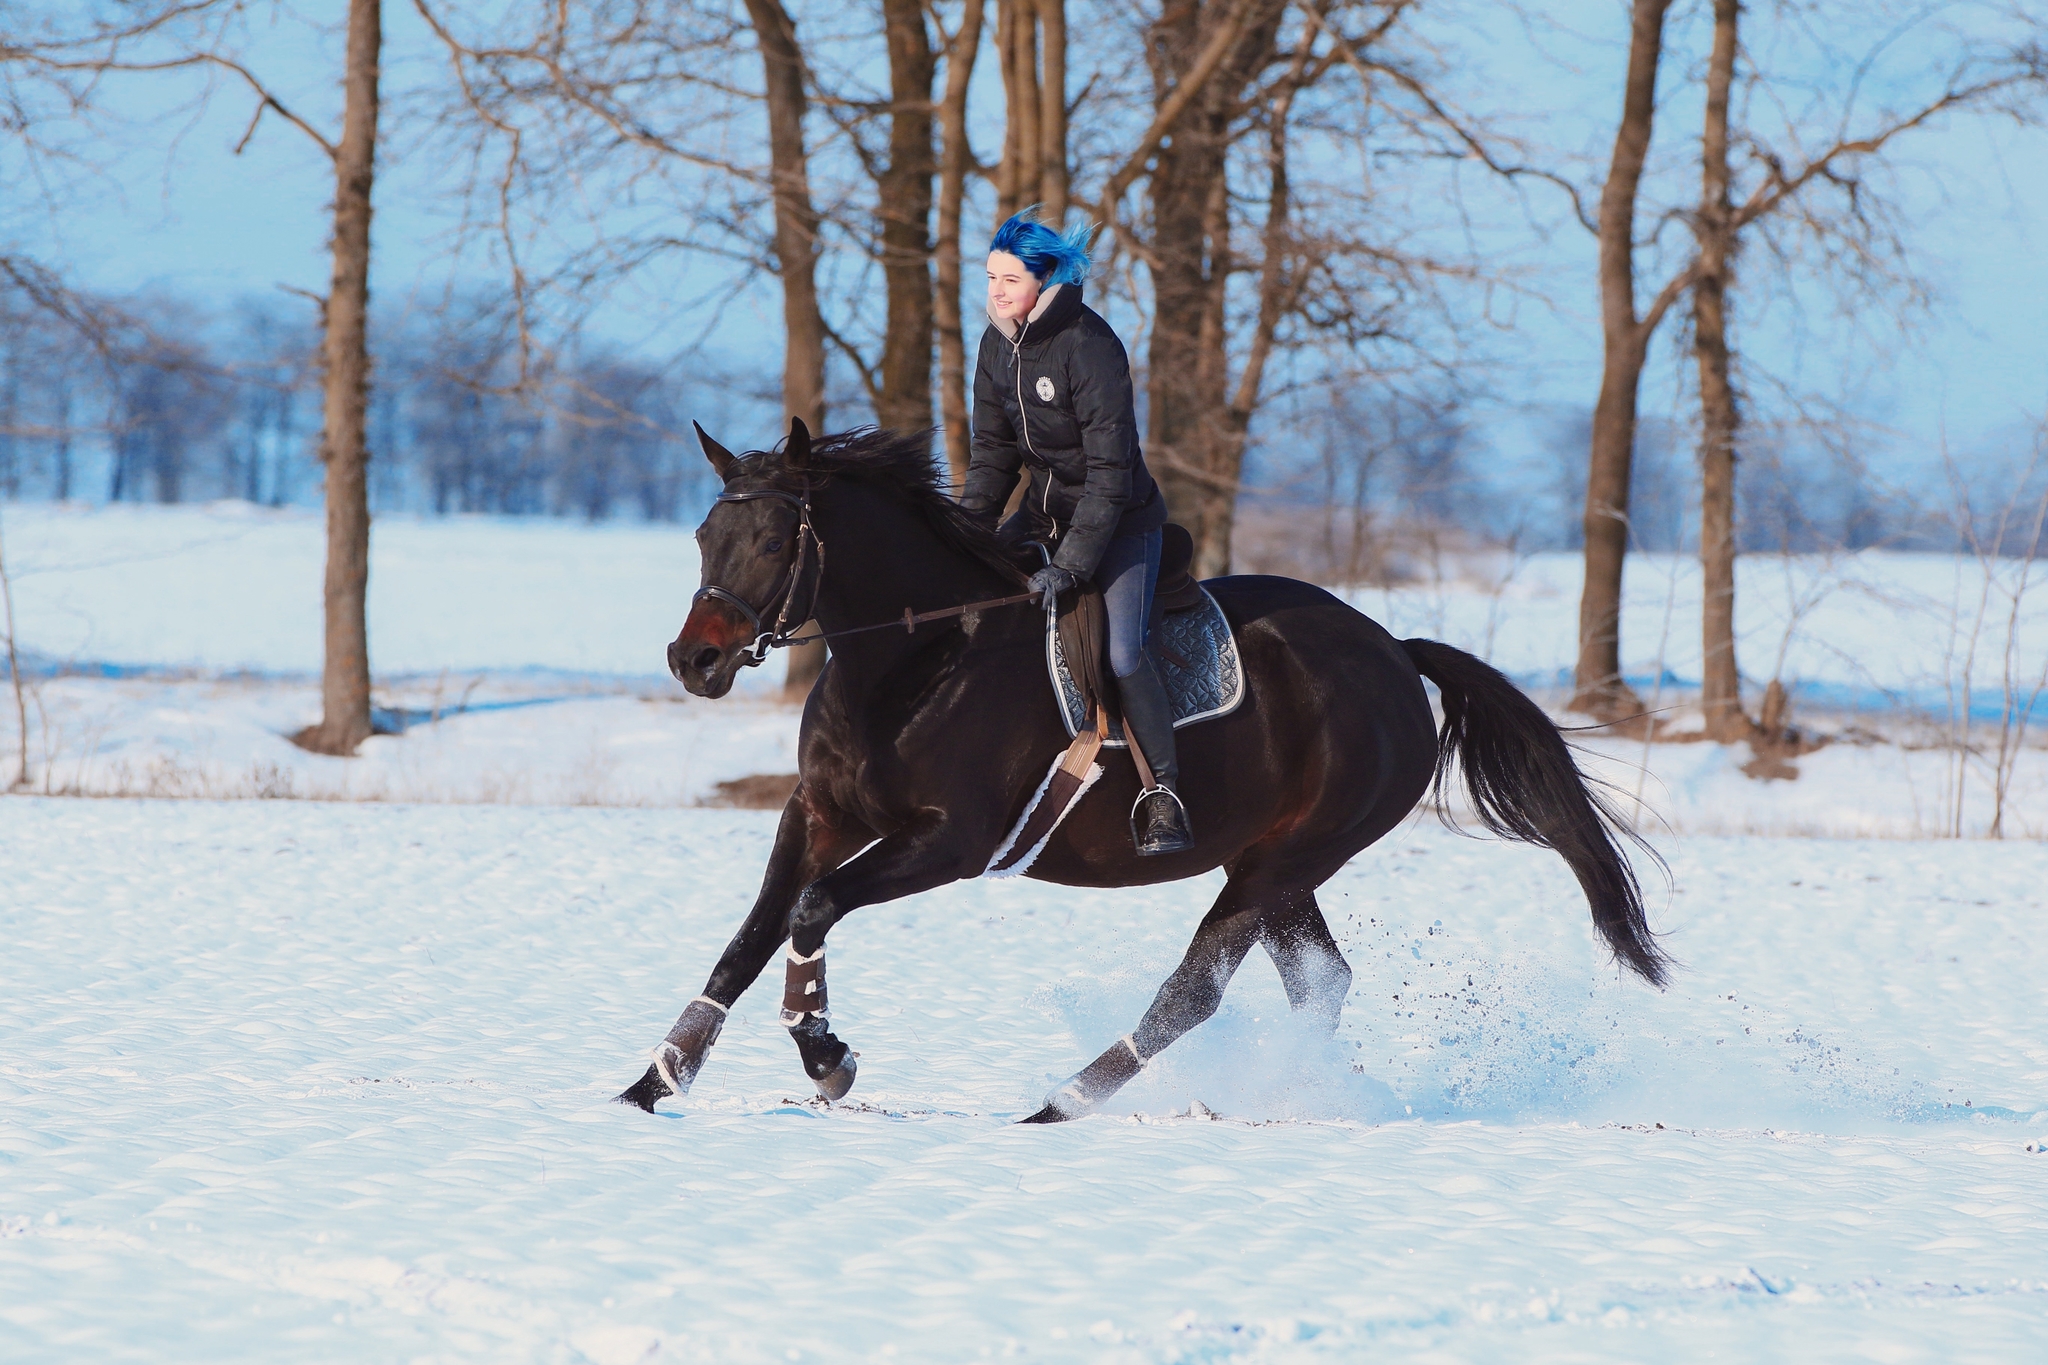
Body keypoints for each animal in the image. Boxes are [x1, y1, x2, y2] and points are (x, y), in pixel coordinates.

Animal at [618, 421, 1662, 1129]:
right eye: (705, 536)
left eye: (769, 541)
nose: (693, 661)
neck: (915, 659)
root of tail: (1395, 654)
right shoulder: (818, 813)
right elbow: (751, 938)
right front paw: (652, 1082)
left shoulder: (949, 841)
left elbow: (811, 910)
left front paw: (825, 1053)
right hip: (1274, 864)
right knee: (1320, 981)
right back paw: (1310, 1089)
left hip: (1280, 861)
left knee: (1193, 992)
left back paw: (1064, 1100)